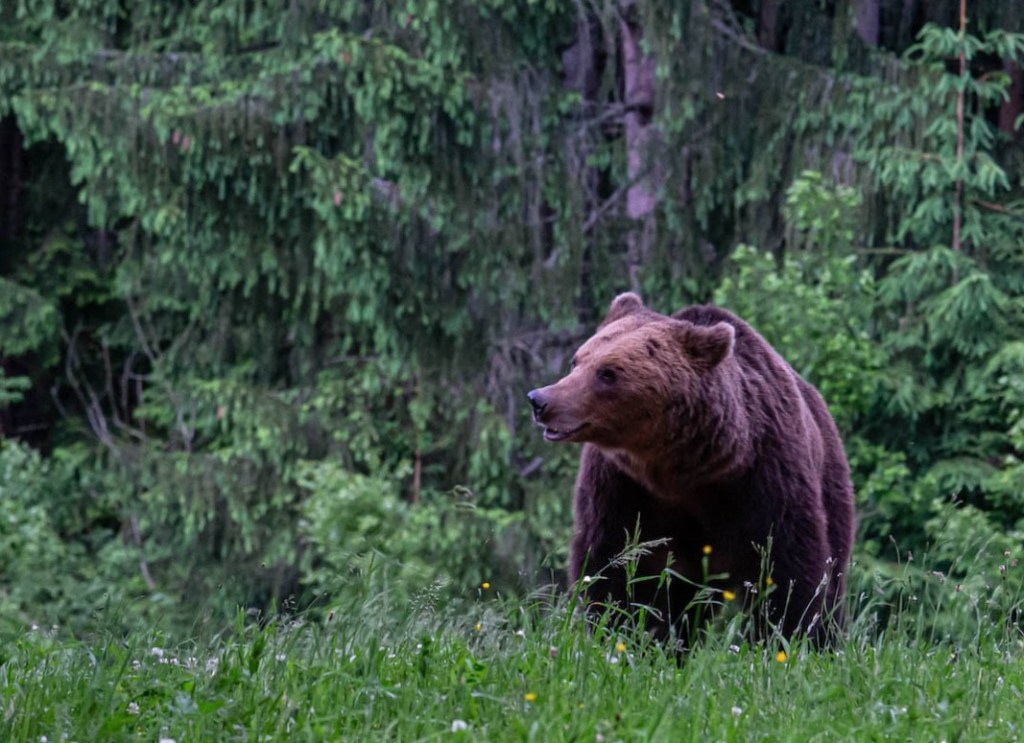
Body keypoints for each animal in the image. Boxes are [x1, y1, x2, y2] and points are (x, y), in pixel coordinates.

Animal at [527, 292, 855, 646]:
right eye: (577, 361)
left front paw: (793, 637)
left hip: (830, 485)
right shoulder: (622, 487)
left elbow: (789, 569)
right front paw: (622, 632)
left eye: (608, 373)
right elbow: (613, 563)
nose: (540, 400)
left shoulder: (766, 475)